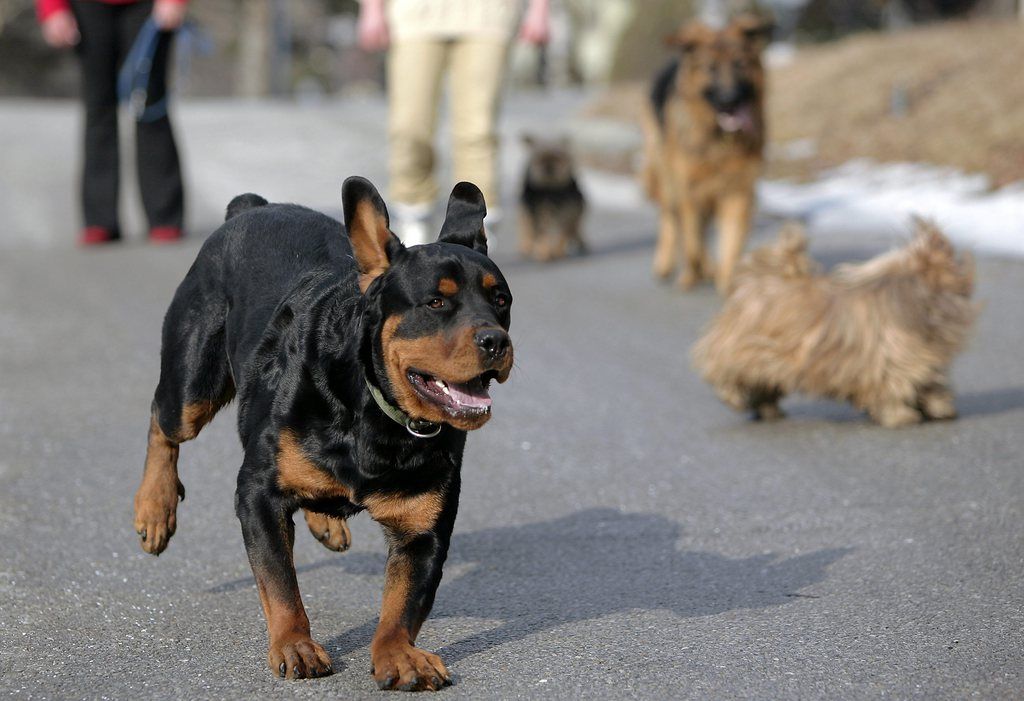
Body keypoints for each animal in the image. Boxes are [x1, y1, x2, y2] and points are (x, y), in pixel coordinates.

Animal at [133, 176, 516, 687]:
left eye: (501, 301)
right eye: (436, 302)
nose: (496, 340)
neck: (374, 410)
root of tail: (250, 207)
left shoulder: (424, 529)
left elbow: (404, 601)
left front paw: (399, 653)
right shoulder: (258, 493)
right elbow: (280, 582)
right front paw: (295, 644)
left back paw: (326, 519)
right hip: (193, 381)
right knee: (163, 420)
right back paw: (155, 507)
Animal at [643, 14, 770, 292]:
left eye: (740, 64)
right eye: (710, 68)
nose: (729, 100)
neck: (718, 138)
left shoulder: (736, 190)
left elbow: (730, 241)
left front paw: (727, 282)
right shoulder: (688, 188)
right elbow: (692, 240)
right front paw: (692, 274)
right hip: (668, 178)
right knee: (671, 219)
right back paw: (669, 264)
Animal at [696, 220, 974, 425]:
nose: (962, 262)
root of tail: (755, 281)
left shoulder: (921, 357)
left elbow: (930, 381)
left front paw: (939, 406)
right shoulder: (890, 359)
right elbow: (893, 385)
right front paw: (900, 415)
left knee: (763, 386)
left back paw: (767, 408)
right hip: (744, 349)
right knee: (727, 373)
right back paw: (735, 397)